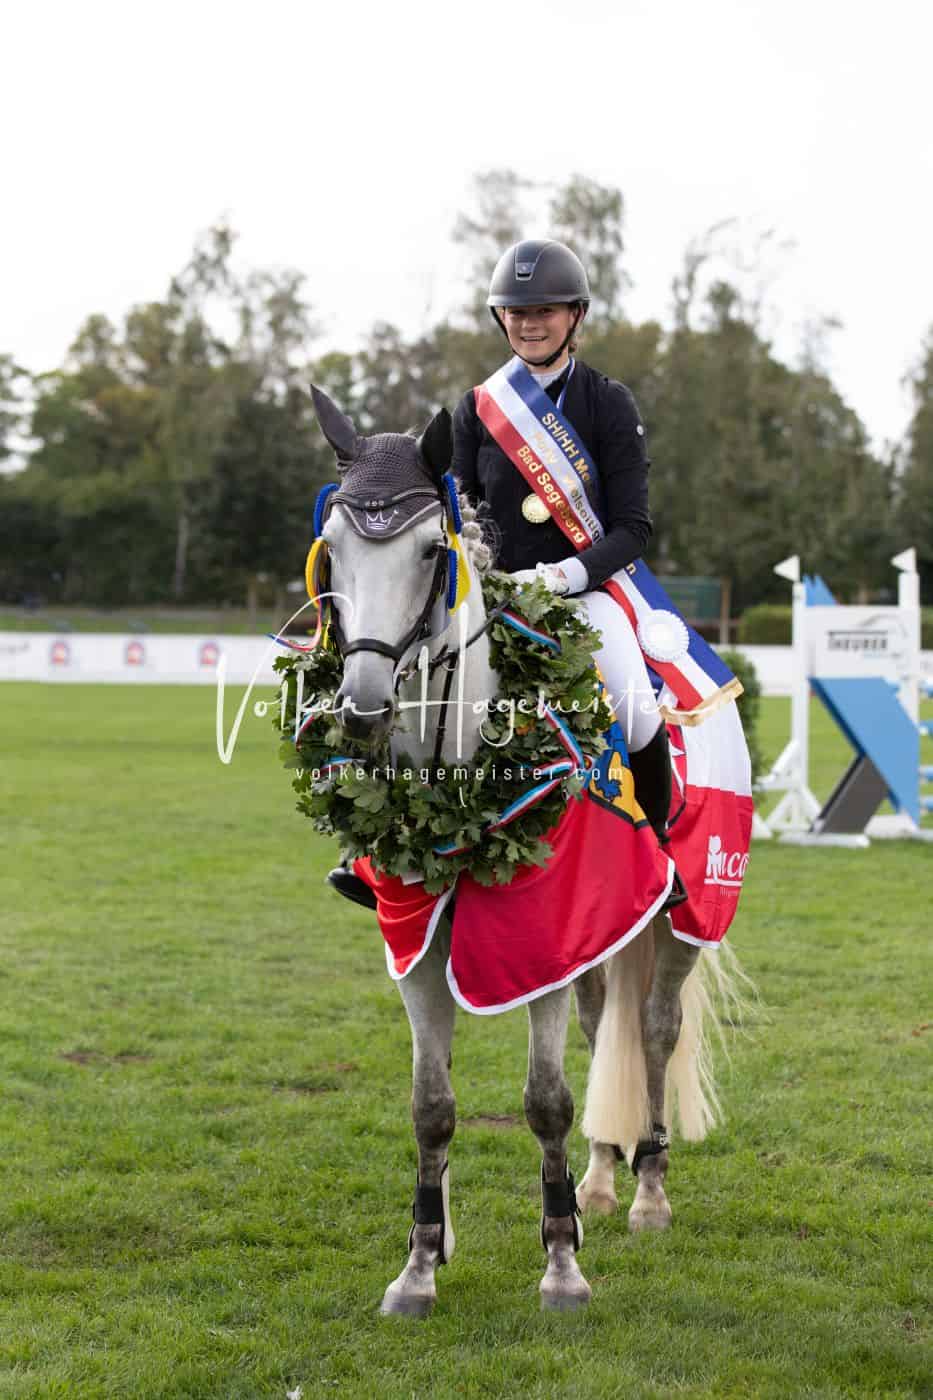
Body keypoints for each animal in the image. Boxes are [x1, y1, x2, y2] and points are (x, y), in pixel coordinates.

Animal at [307, 384, 744, 1316]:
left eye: (430, 552)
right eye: (334, 554)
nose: (362, 709)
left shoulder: (543, 935)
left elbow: (545, 1100)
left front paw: (562, 1269)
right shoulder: (417, 941)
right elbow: (430, 1105)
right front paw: (419, 1264)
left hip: (685, 920)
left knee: (653, 1028)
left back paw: (647, 1194)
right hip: (603, 934)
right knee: (603, 1025)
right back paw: (599, 1183)